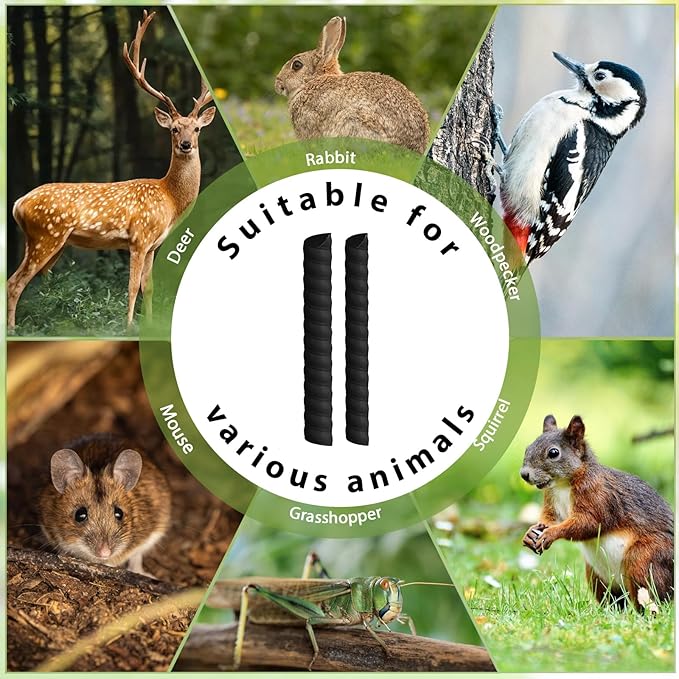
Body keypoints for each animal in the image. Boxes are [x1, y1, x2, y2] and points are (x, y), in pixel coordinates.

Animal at [8, 10, 216, 331]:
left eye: (196, 129)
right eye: (173, 129)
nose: (185, 144)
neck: (169, 198)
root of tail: (18, 203)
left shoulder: (153, 244)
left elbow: (148, 286)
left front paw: (149, 326)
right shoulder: (139, 237)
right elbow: (131, 286)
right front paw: (129, 326)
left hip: (38, 239)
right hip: (47, 234)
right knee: (15, 283)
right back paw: (14, 329)